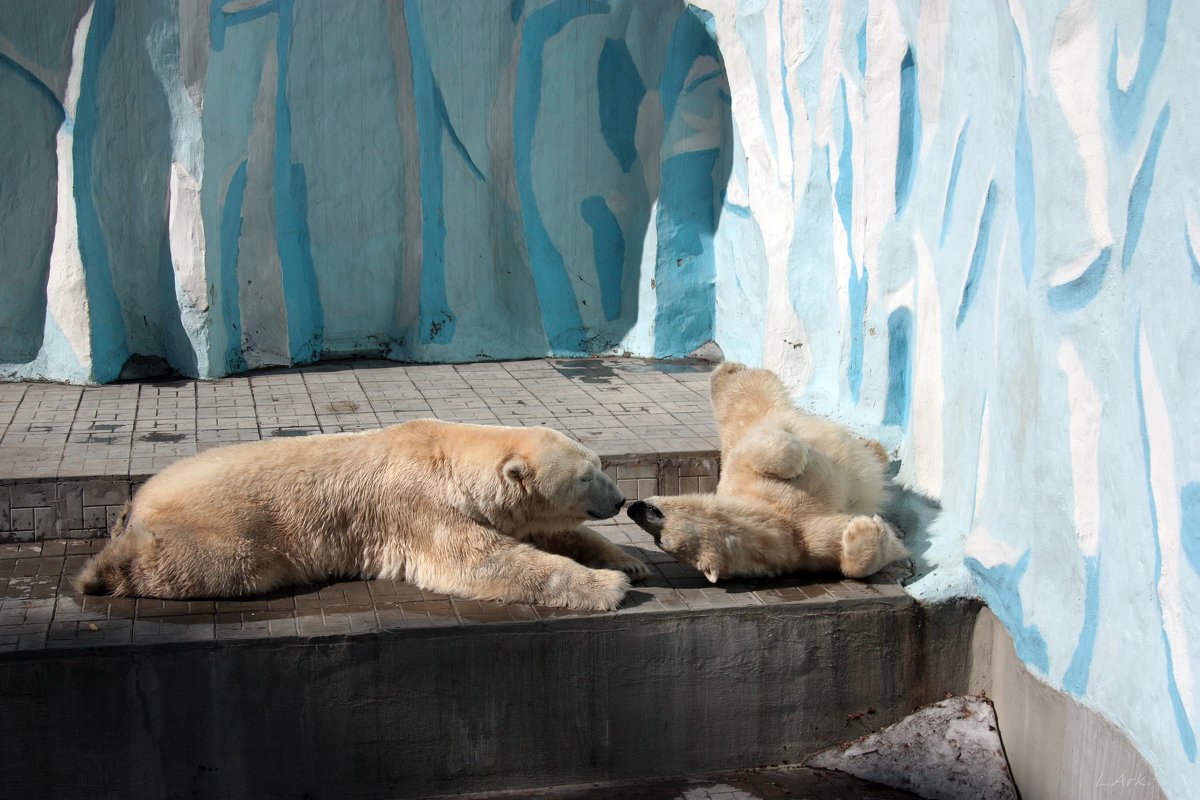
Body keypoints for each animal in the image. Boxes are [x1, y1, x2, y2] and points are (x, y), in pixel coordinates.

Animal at [77, 419, 648, 606]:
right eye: (586, 476)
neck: (448, 457)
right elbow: (480, 560)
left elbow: (544, 533)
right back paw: (99, 572)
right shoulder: (419, 509)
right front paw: (610, 587)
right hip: (230, 527)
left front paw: (628, 561)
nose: (621, 500)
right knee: (224, 565)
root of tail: (140, 498)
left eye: (600, 465)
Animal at [633, 362, 902, 582]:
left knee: (746, 388)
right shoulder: (806, 547)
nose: (634, 508)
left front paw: (799, 457)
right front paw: (865, 527)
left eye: (658, 531)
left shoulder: (744, 474)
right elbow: (860, 558)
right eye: (660, 541)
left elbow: (758, 449)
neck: (776, 519)